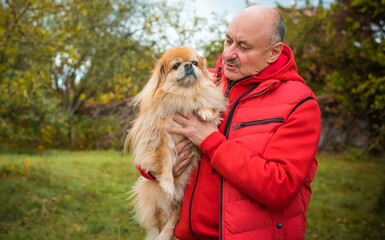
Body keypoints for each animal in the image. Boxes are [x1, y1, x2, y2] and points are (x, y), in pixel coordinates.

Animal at [127, 46, 225, 239]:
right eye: (176, 65)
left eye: (194, 63)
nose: (188, 65)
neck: (183, 94)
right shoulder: (161, 137)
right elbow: (165, 161)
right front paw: (167, 183)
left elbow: (206, 100)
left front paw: (204, 112)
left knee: (173, 219)